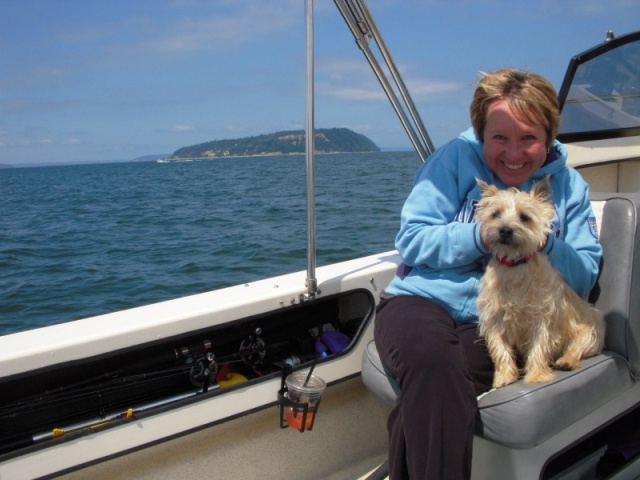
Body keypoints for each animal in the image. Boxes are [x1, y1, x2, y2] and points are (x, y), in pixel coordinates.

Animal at [476, 178, 604, 388]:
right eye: (496, 214)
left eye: (525, 217)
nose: (505, 229)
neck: (515, 266)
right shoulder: (493, 318)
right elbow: (499, 348)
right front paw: (504, 377)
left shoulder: (543, 317)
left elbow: (539, 346)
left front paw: (536, 376)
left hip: (591, 330)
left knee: (577, 347)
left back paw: (566, 361)